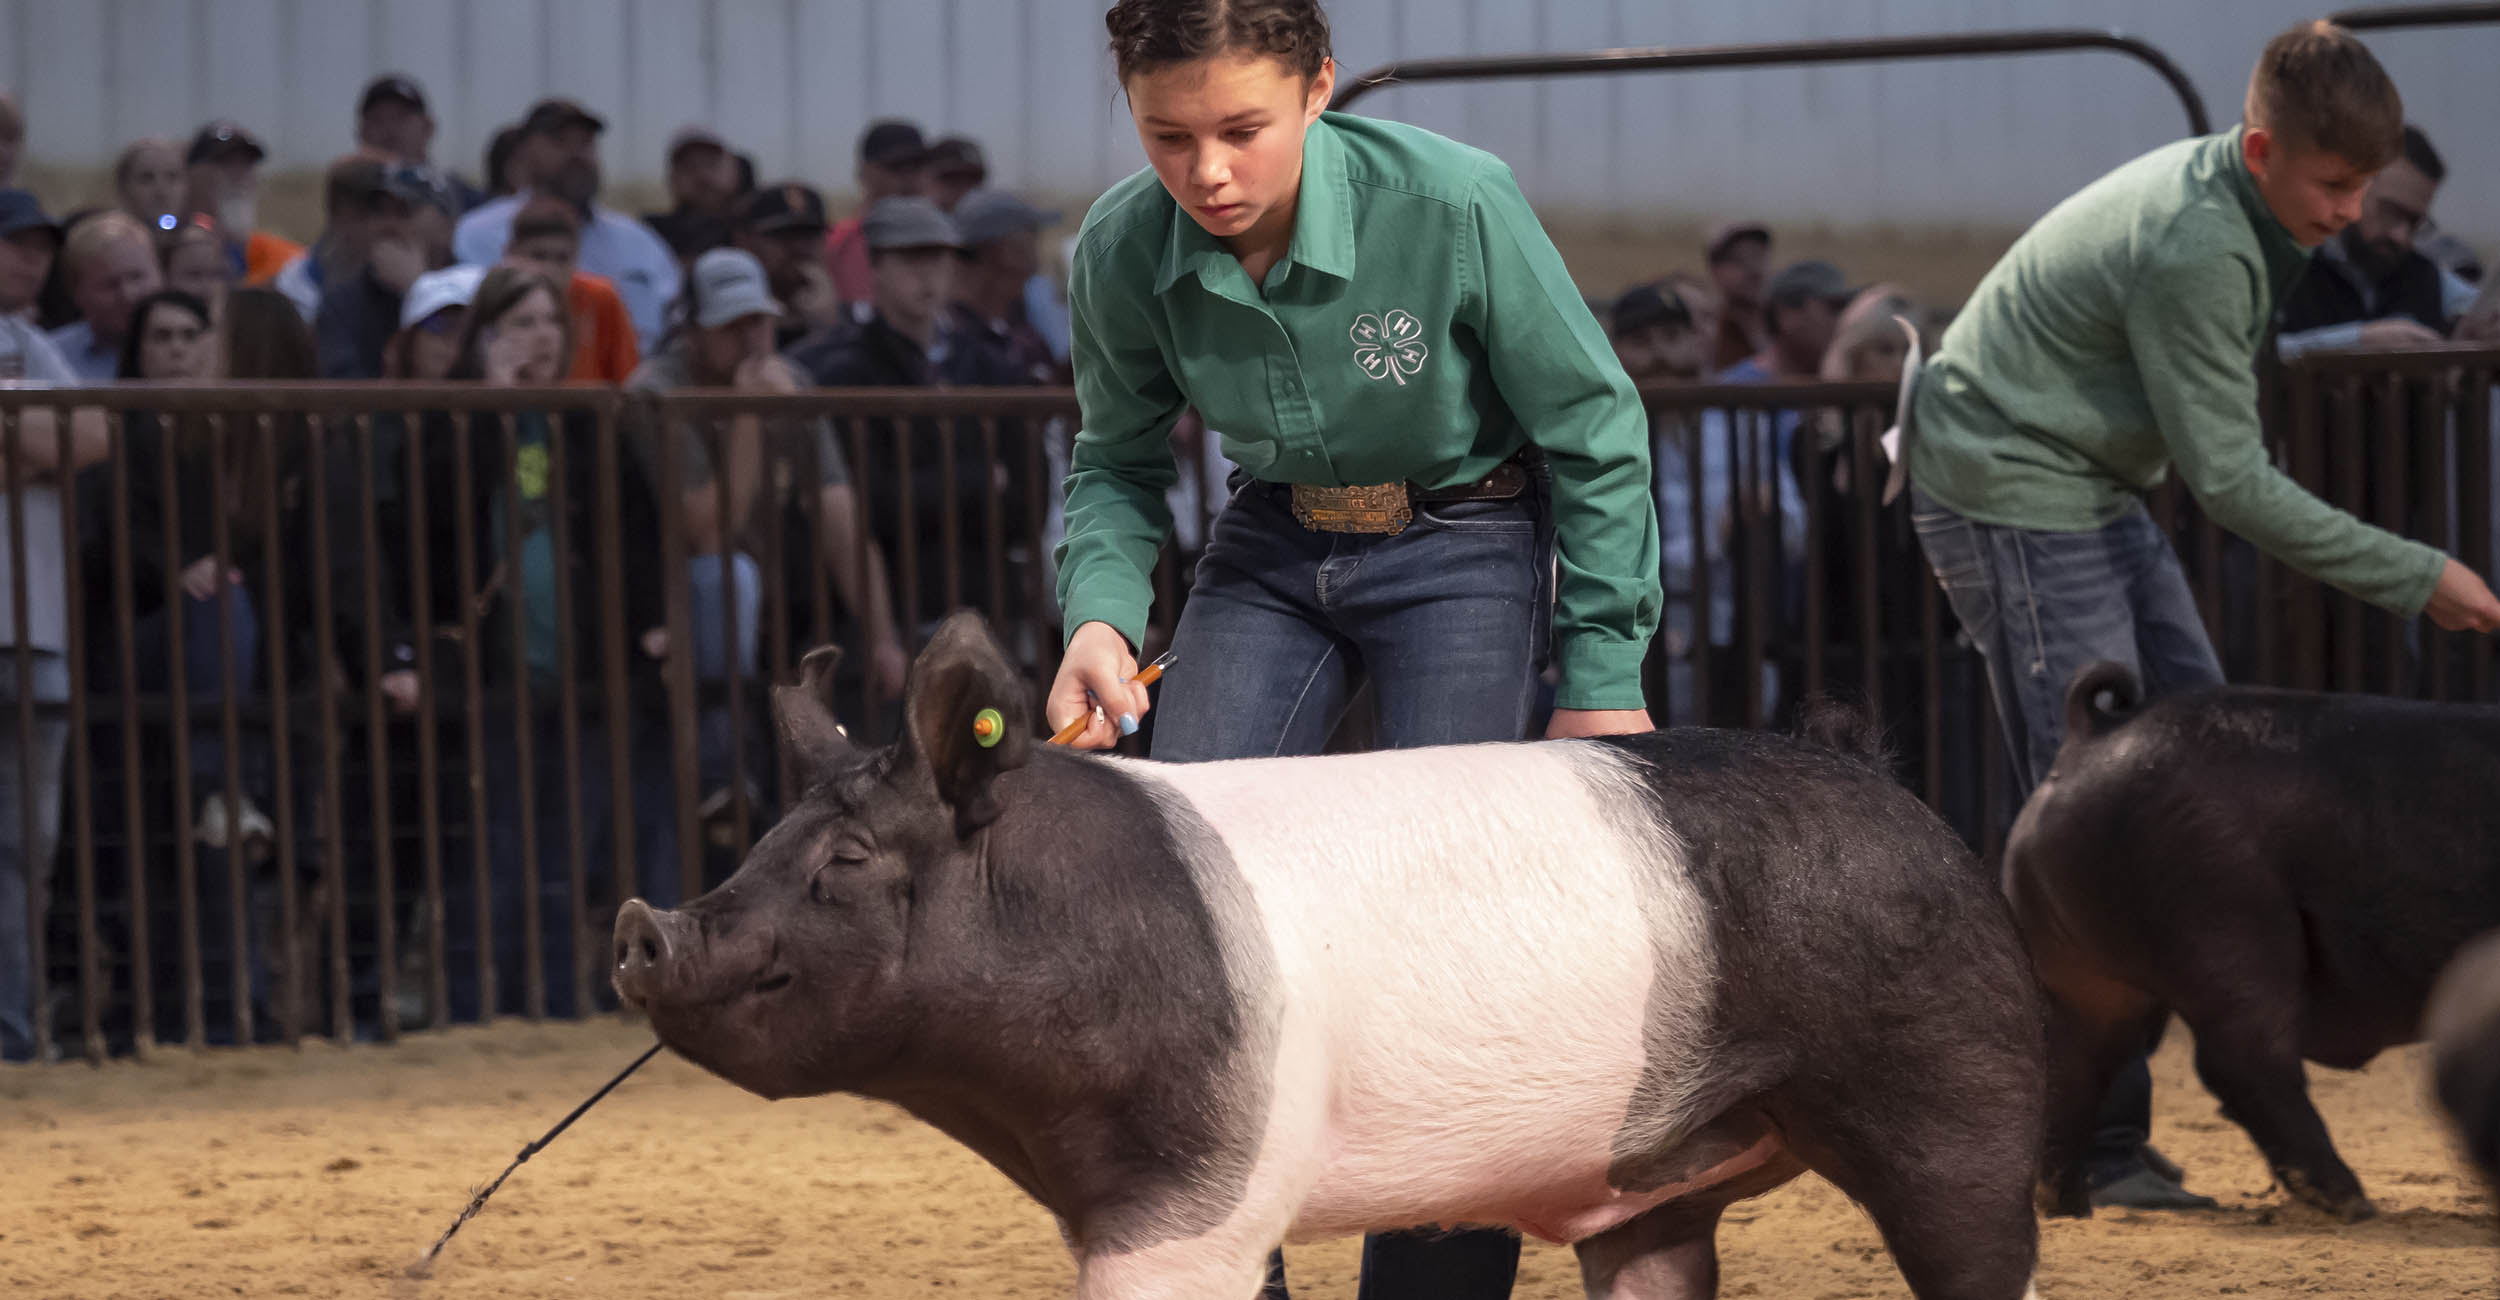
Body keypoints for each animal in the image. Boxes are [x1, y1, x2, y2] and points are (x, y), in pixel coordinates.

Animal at [613, 612, 2045, 1299]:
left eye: (848, 860)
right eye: (767, 835)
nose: (642, 925)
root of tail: (1881, 777)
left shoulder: (1195, 1194)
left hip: (1957, 1095)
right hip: (1654, 1187)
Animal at [2006, 661, 2500, 1223]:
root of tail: (2088, 736)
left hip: (2081, 972)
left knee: (2070, 1067)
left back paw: (2066, 1206)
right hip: (2226, 917)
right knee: (2243, 1058)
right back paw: (2351, 1201)